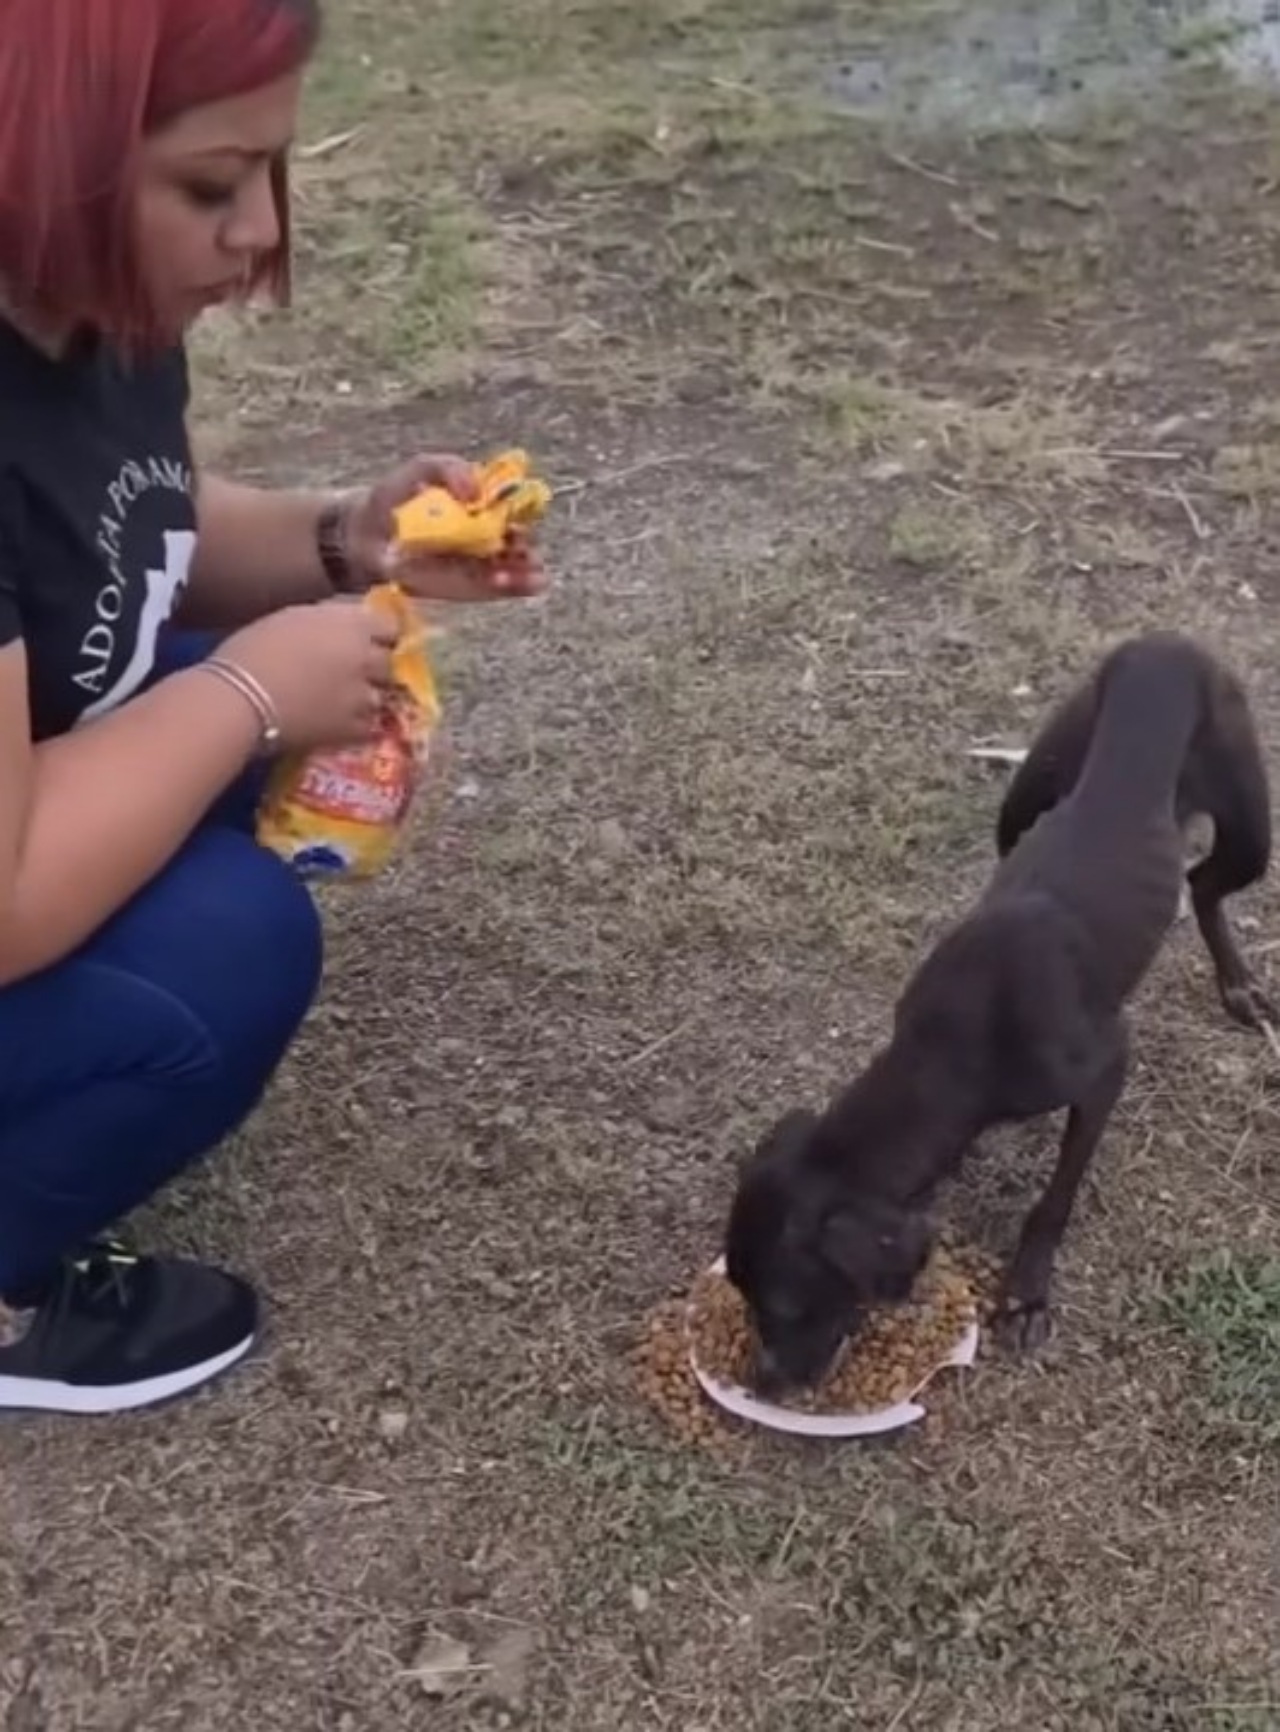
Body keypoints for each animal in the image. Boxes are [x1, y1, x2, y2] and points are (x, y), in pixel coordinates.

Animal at [727, 633, 1274, 1392]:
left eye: (786, 1302)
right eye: (740, 1291)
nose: (761, 1383)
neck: (956, 1038)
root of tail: (1161, 644)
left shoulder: (1106, 1068)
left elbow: (1054, 1200)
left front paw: (1026, 1294)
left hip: (1250, 826)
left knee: (1208, 883)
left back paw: (1238, 984)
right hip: (1026, 798)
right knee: (1192, 878)